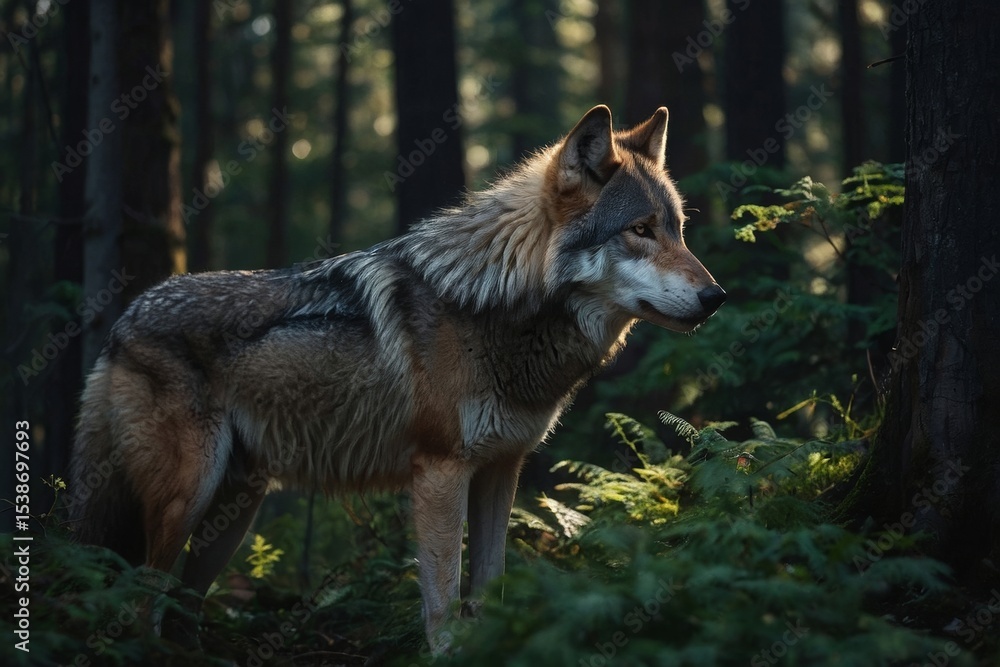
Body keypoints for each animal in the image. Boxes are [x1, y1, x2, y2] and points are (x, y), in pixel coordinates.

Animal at [69, 105, 725, 646]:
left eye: (678, 228)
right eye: (640, 229)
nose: (716, 297)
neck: (494, 310)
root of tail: (123, 320)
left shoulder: (501, 469)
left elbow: (489, 591)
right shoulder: (439, 472)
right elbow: (442, 608)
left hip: (234, 509)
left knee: (179, 605)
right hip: (188, 496)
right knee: (141, 600)